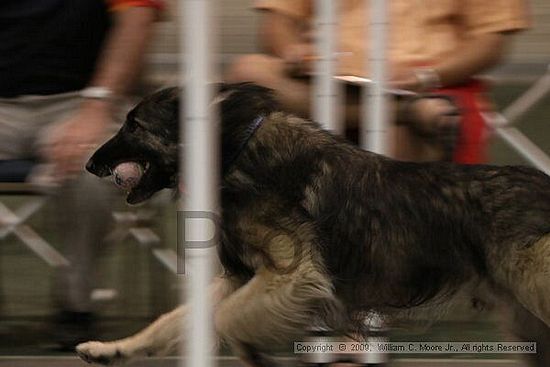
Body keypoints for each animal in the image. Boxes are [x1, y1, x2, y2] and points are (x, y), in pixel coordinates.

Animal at [77, 83, 550, 367]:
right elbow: (174, 319)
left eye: (133, 125)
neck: (235, 148)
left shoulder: (293, 276)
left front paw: (252, 353)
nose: (88, 164)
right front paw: (111, 349)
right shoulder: (243, 279)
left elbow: (225, 319)